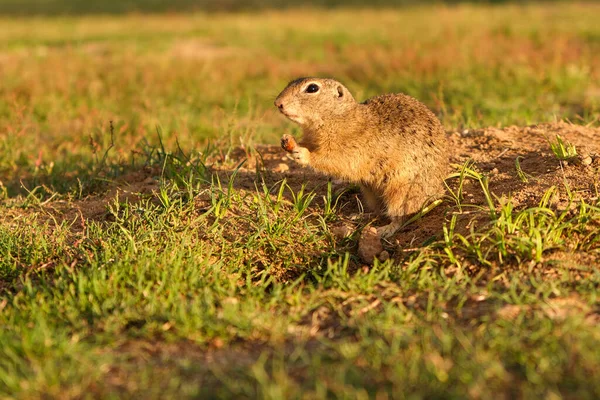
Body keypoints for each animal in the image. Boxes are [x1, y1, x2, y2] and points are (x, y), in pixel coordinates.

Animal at [274, 77, 448, 238]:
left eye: (312, 88)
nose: (277, 103)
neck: (339, 117)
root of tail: (437, 193)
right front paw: (286, 140)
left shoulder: (349, 150)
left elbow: (331, 159)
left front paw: (302, 153)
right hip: (371, 193)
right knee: (380, 211)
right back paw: (361, 215)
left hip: (401, 191)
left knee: (402, 216)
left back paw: (384, 230)